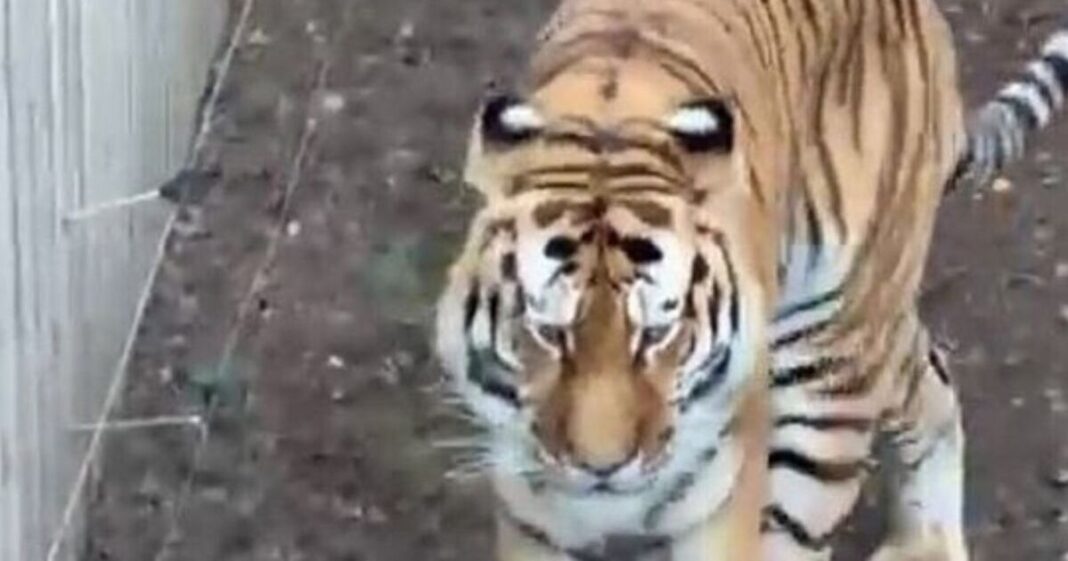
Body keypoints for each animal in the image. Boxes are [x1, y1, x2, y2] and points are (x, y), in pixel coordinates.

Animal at [433, 0, 1068, 559]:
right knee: (928, 373)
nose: (602, 469)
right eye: (548, 331)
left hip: (832, 358)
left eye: (659, 334)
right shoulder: (534, 510)